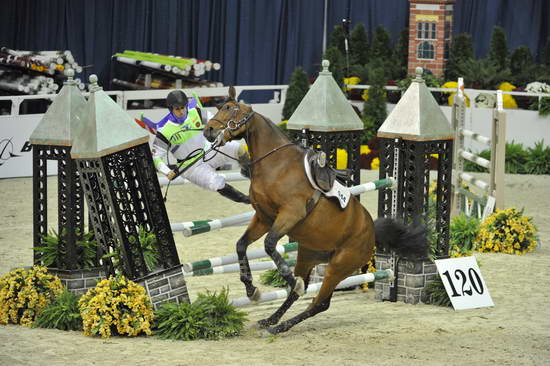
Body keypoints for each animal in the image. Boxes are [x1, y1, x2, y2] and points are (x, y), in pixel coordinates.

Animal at [205, 86, 430, 334]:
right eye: (220, 107)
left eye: (230, 109)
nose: (208, 130)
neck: (276, 164)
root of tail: (372, 231)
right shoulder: (263, 218)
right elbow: (242, 245)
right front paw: (251, 289)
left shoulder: (289, 214)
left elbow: (270, 245)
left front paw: (285, 282)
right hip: (308, 254)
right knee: (301, 294)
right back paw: (272, 321)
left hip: (338, 267)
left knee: (319, 303)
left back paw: (280, 325)